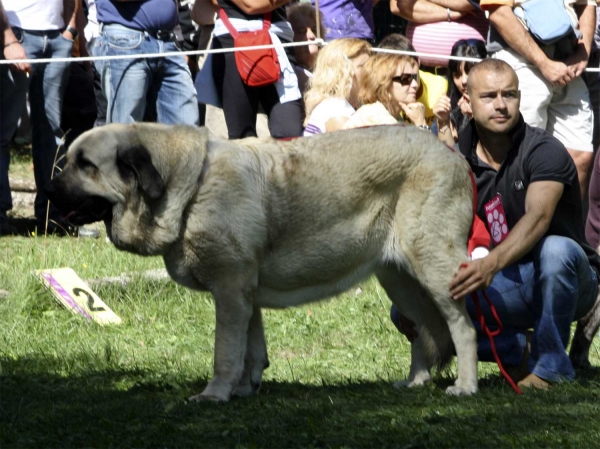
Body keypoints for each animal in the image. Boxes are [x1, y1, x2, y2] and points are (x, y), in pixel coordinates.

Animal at [45, 121, 478, 400]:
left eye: (86, 165)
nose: (49, 189)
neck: (187, 189)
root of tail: (453, 155)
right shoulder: (243, 293)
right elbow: (250, 348)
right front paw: (244, 388)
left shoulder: (230, 290)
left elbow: (225, 351)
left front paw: (215, 394)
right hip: (399, 280)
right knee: (422, 329)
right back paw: (416, 381)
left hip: (436, 268)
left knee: (462, 326)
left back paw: (465, 387)